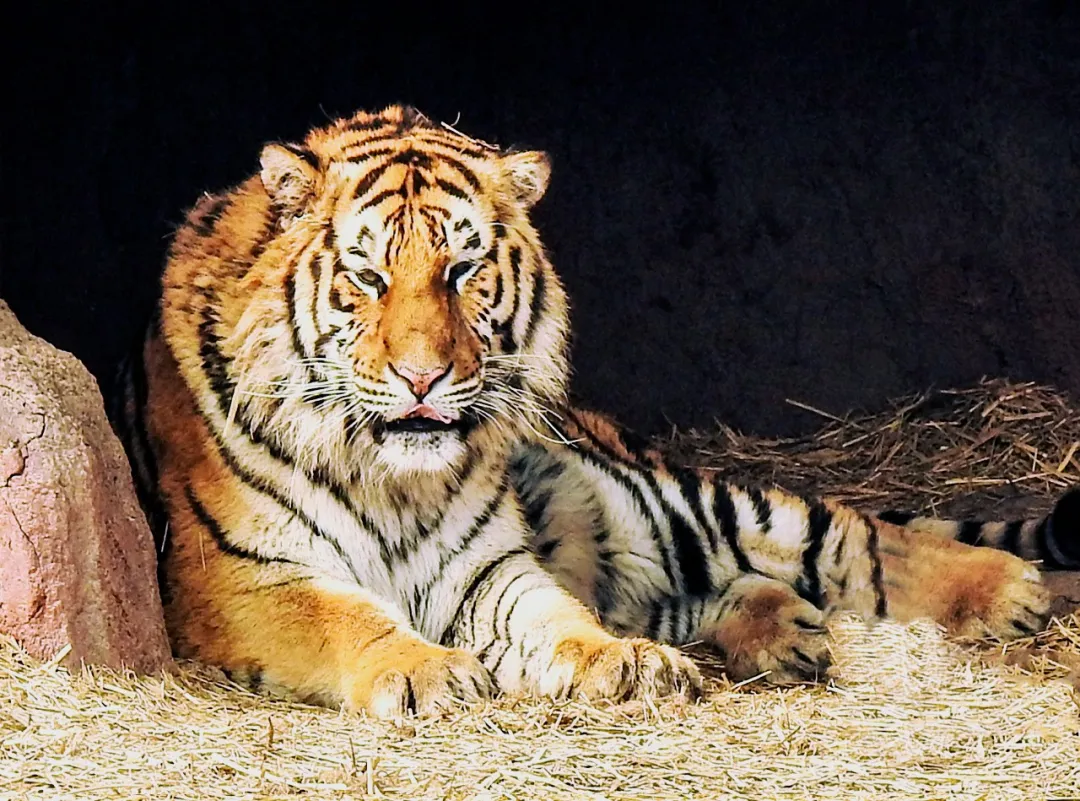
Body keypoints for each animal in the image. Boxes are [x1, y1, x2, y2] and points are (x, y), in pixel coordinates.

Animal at [111, 105, 1077, 718]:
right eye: (370, 275)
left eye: (463, 270)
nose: (423, 377)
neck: (393, 478)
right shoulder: (237, 578)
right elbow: (346, 614)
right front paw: (428, 671)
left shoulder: (488, 567)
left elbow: (557, 619)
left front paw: (621, 663)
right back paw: (784, 634)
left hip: (669, 497)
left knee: (852, 538)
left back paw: (1008, 590)